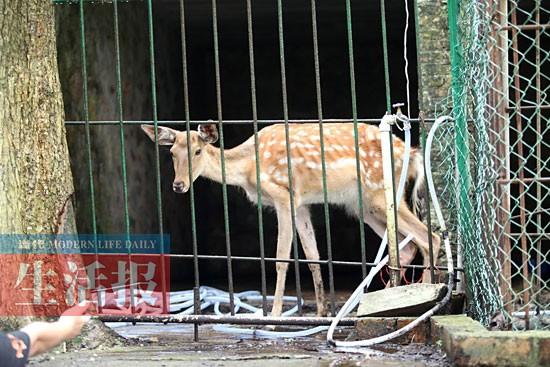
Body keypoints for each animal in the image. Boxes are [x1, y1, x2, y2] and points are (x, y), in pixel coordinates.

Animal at [143, 123, 444, 316]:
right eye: (172, 153)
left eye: (197, 151)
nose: (179, 185)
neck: (249, 168)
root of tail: (413, 154)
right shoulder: (300, 203)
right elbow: (312, 255)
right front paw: (322, 310)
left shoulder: (283, 194)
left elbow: (281, 259)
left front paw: (274, 316)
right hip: (364, 205)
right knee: (408, 245)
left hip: (380, 192)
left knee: (429, 237)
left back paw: (425, 296)